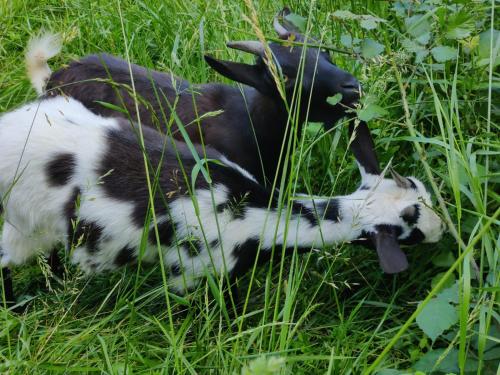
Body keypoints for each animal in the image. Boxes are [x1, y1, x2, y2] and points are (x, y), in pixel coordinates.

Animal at [0, 96, 446, 302]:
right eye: (410, 228)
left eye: (418, 186)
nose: (443, 229)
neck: (256, 214)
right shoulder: (196, 270)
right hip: (25, 217)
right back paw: (16, 305)